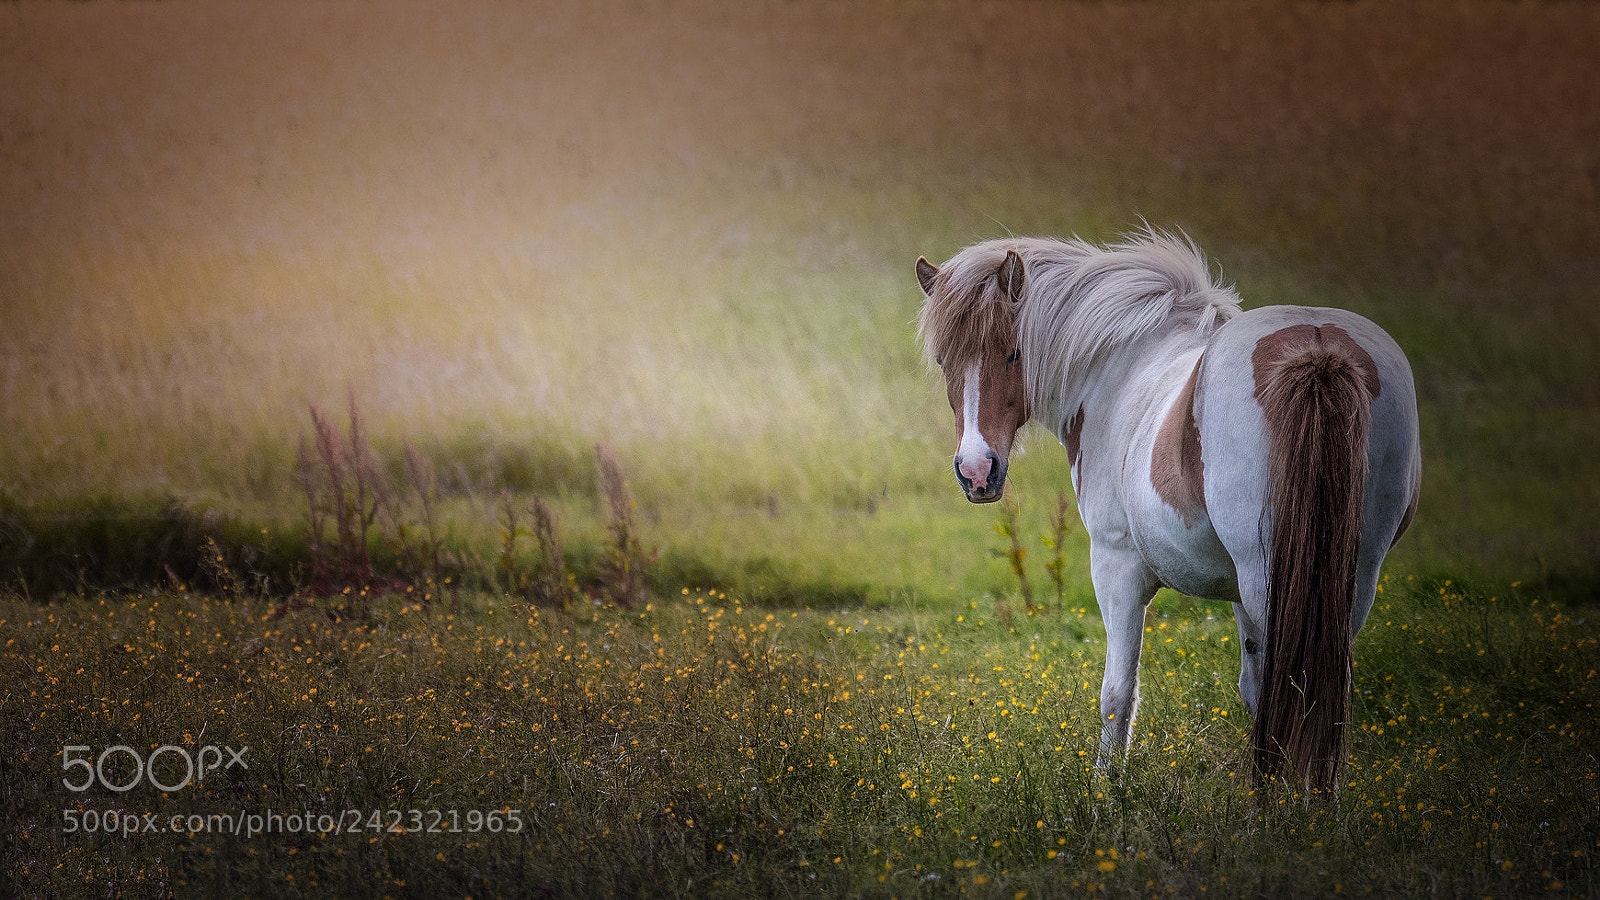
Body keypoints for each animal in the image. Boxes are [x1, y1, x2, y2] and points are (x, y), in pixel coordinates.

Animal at [915, 228, 1421, 792]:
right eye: (944, 361)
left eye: (1014, 353)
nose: (976, 471)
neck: (1120, 368)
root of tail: (1318, 350)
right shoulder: (1241, 596)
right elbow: (1255, 689)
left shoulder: (1117, 567)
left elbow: (1118, 694)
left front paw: (1105, 791)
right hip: (1349, 575)